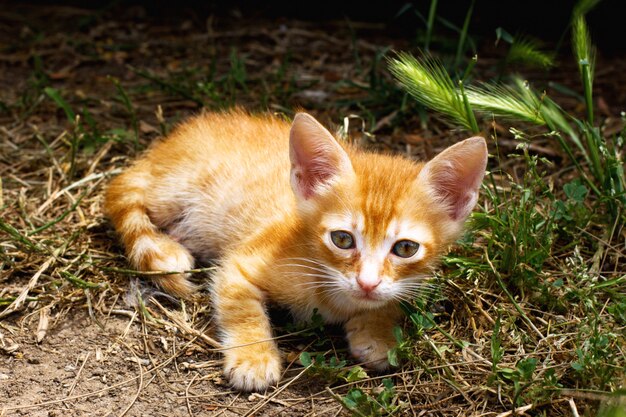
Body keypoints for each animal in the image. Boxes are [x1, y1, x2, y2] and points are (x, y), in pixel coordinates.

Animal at [103, 109, 488, 390]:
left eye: (405, 248)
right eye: (342, 239)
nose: (366, 283)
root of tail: (165, 146)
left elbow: (388, 300)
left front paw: (377, 331)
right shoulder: (240, 265)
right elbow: (241, 310)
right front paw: (254, 358)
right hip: (170, 192)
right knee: (121, 191)